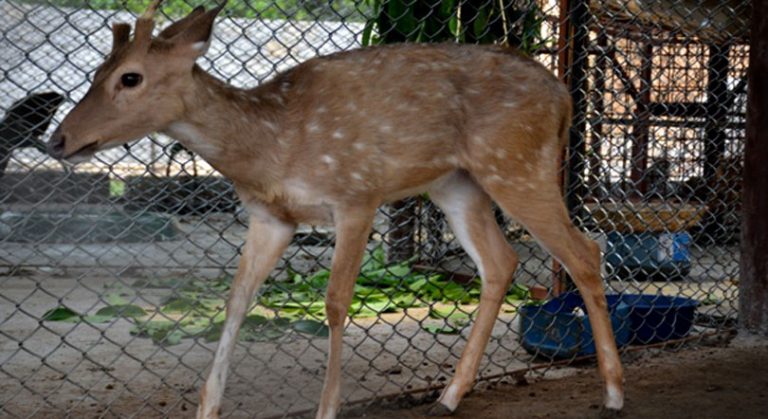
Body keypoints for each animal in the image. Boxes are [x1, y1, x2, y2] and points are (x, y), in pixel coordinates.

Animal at [48, 1, 624, 418]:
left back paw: (614, 393)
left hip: (517, 164)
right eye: (98, 70)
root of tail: (563, 96)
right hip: (456, 185)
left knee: (585, 251)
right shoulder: (271, 218)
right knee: (501, 263)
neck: (271, 146)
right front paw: (207, 409)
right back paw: (448, 395)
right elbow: (236, 302)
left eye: (130, 77)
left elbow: (335, 303)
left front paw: (327, 408)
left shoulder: (355, 196)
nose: (58, 140)